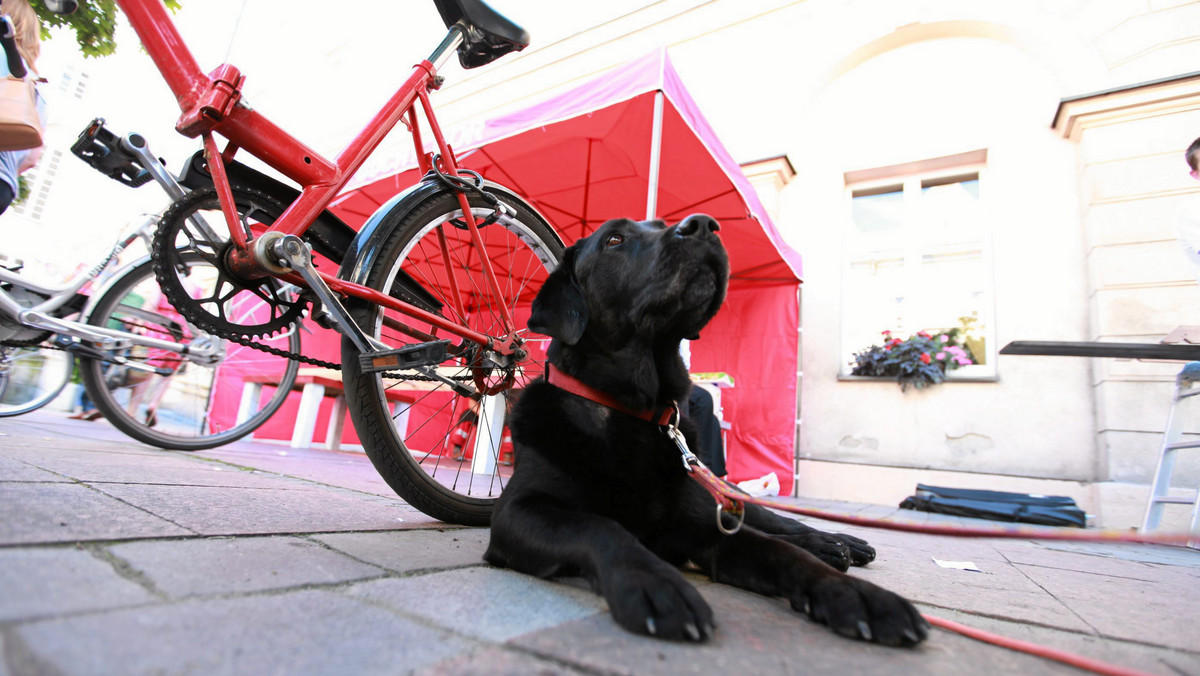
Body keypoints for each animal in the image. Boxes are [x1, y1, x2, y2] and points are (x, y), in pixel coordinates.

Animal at [487, 216, 926, 643]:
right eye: (614, 239)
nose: (703, 225)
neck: (631, 412)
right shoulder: (516, 513)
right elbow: (598, 525)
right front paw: (657, 584)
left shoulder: (704, 527)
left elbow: (783, 554)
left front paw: (855, 595)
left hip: (730, 499)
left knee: (781, 525)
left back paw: (838, 543)